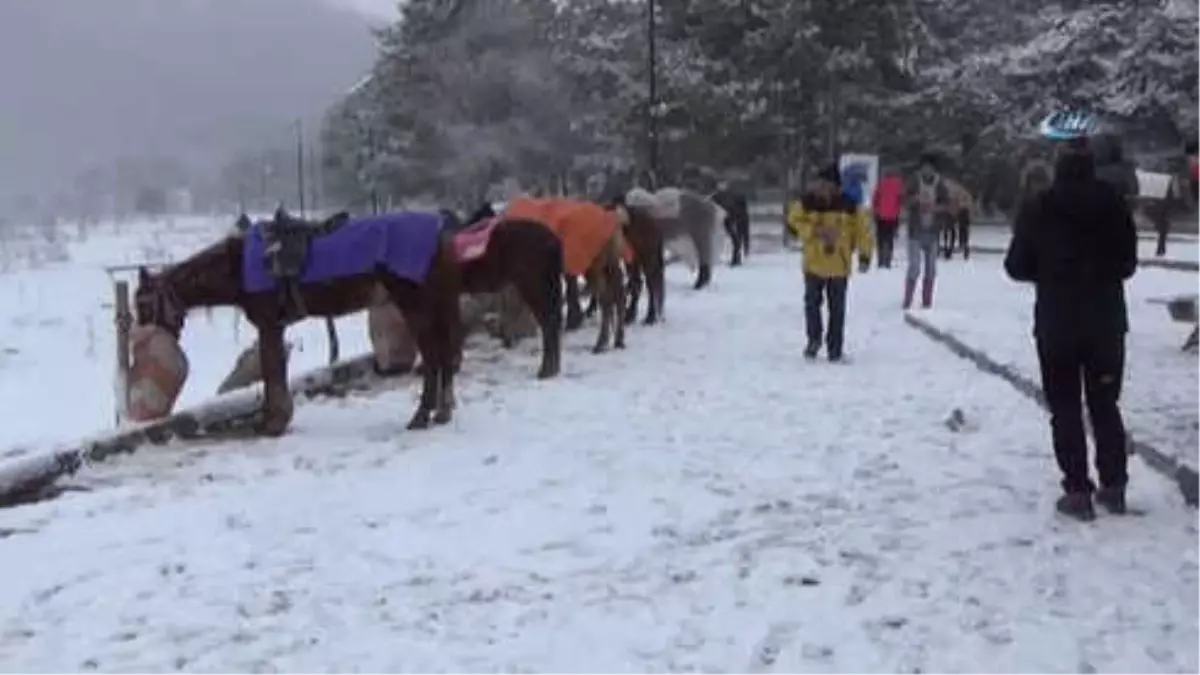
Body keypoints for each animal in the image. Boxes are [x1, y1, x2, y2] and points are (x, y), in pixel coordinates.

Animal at [135, 207, 463, 432]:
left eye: (143, 303)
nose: (148, 339)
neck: (238, 266)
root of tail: (441, 230)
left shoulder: (268, 325)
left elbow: (271, 371)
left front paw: (272, 423)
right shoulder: (276, 327)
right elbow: (276, 371)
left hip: (415, 306)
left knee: (432, 357)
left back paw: (421, 416)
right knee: (445, 354)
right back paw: (442, 412)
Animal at [499, 194, 628, 353]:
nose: (505, 339)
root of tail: (615, 220)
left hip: (593, 262)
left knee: (606, 299)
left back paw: (600, 343)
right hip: (611, 261)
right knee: (619, 293)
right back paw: (618, 340)